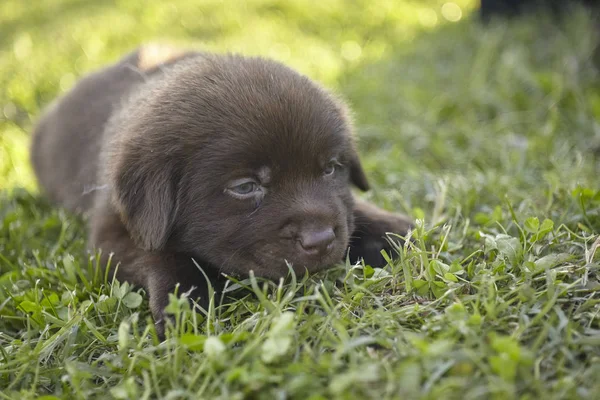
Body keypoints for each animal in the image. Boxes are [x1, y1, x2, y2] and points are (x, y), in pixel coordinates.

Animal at [31, 45, 412, 330]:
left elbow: (354, 211)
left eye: (331, 168)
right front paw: (184, 302)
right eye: (245, 187)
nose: (320, 241)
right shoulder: (110, 233)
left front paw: (395, 229)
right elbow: (158, 254)